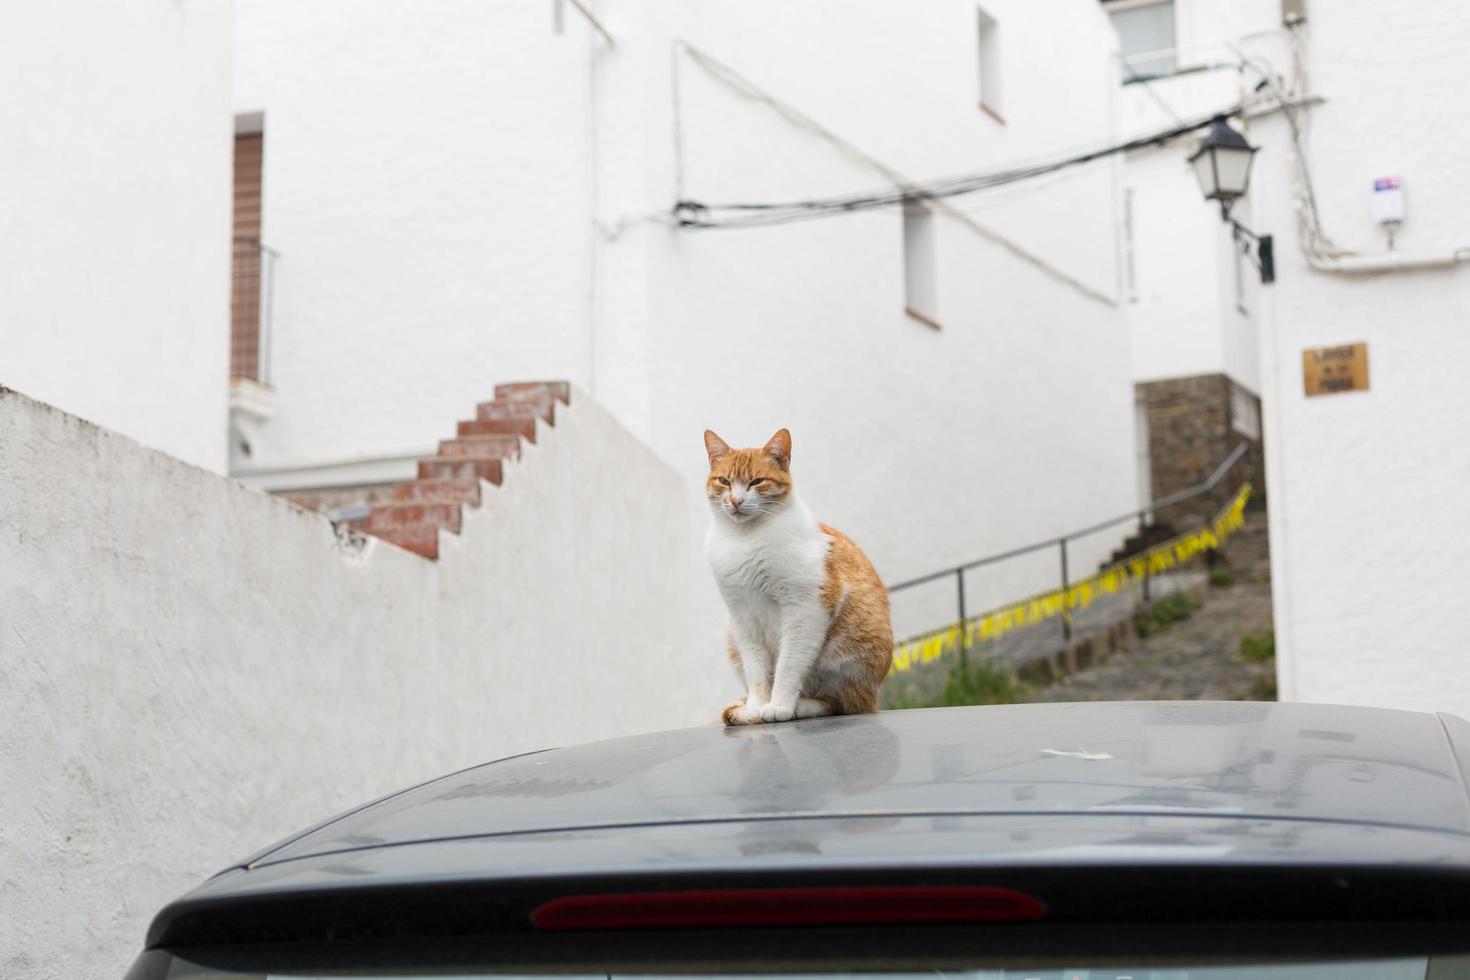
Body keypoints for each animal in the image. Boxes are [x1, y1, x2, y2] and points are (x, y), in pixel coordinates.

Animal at [702, 431, 893, 728]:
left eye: (756, 481)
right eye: (724, 481)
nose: (735, 501)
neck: (744, 539)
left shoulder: (806, 608)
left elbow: (789, 664)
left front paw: (779, 705)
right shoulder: (743, 618)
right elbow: (756, 672)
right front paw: (755, 707)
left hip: (847, 661)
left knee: (841, 703)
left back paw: (800, 706)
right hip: (732, 639)